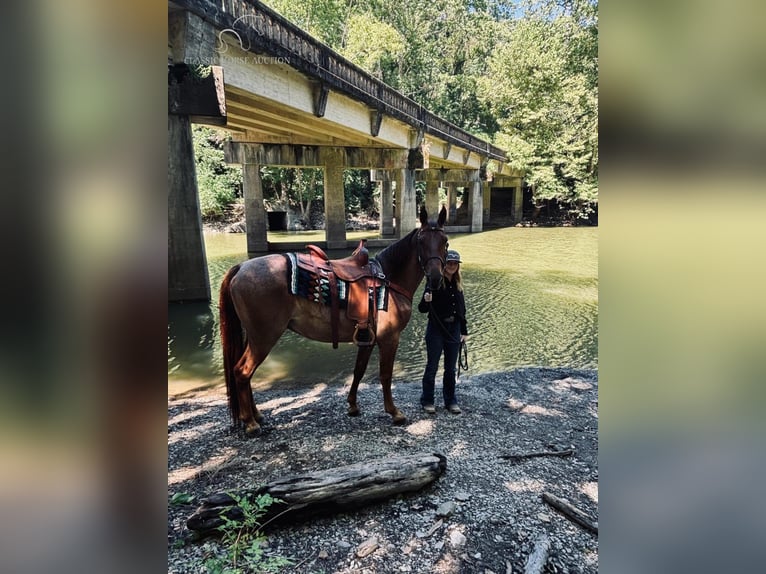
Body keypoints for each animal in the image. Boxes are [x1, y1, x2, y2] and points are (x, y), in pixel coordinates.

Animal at [219, 205, 450, 434]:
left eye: (445, 242)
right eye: (421, 242)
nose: (436, 278)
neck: (389, 281)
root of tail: (241, 268)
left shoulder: (367, 339)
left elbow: (359, 371)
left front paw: (353, 406)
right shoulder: (389, 338)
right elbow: (385, 375)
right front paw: (394, 412)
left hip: (253, 337)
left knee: (245, 373)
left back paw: (256, 415)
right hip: (264, 337)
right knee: (243, 372)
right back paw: (250, 423)